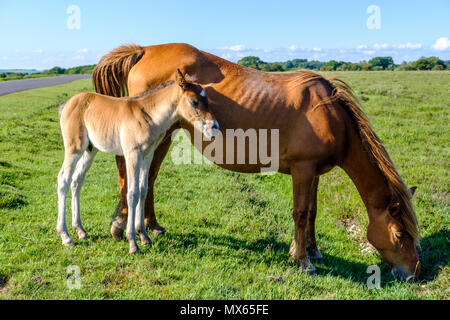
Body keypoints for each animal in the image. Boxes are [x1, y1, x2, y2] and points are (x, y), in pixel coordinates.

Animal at [93, 43, 420, 280]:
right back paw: (123, 224)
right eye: (400, 234)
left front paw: (311, 250)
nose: (413, 274)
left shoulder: (314, 172)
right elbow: (300, 213)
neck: (331, 115)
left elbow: (312, 212)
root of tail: (144, 50)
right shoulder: (302, 169)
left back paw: (150, 225)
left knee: (148, 177)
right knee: (134, 175)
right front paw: (303, 260)